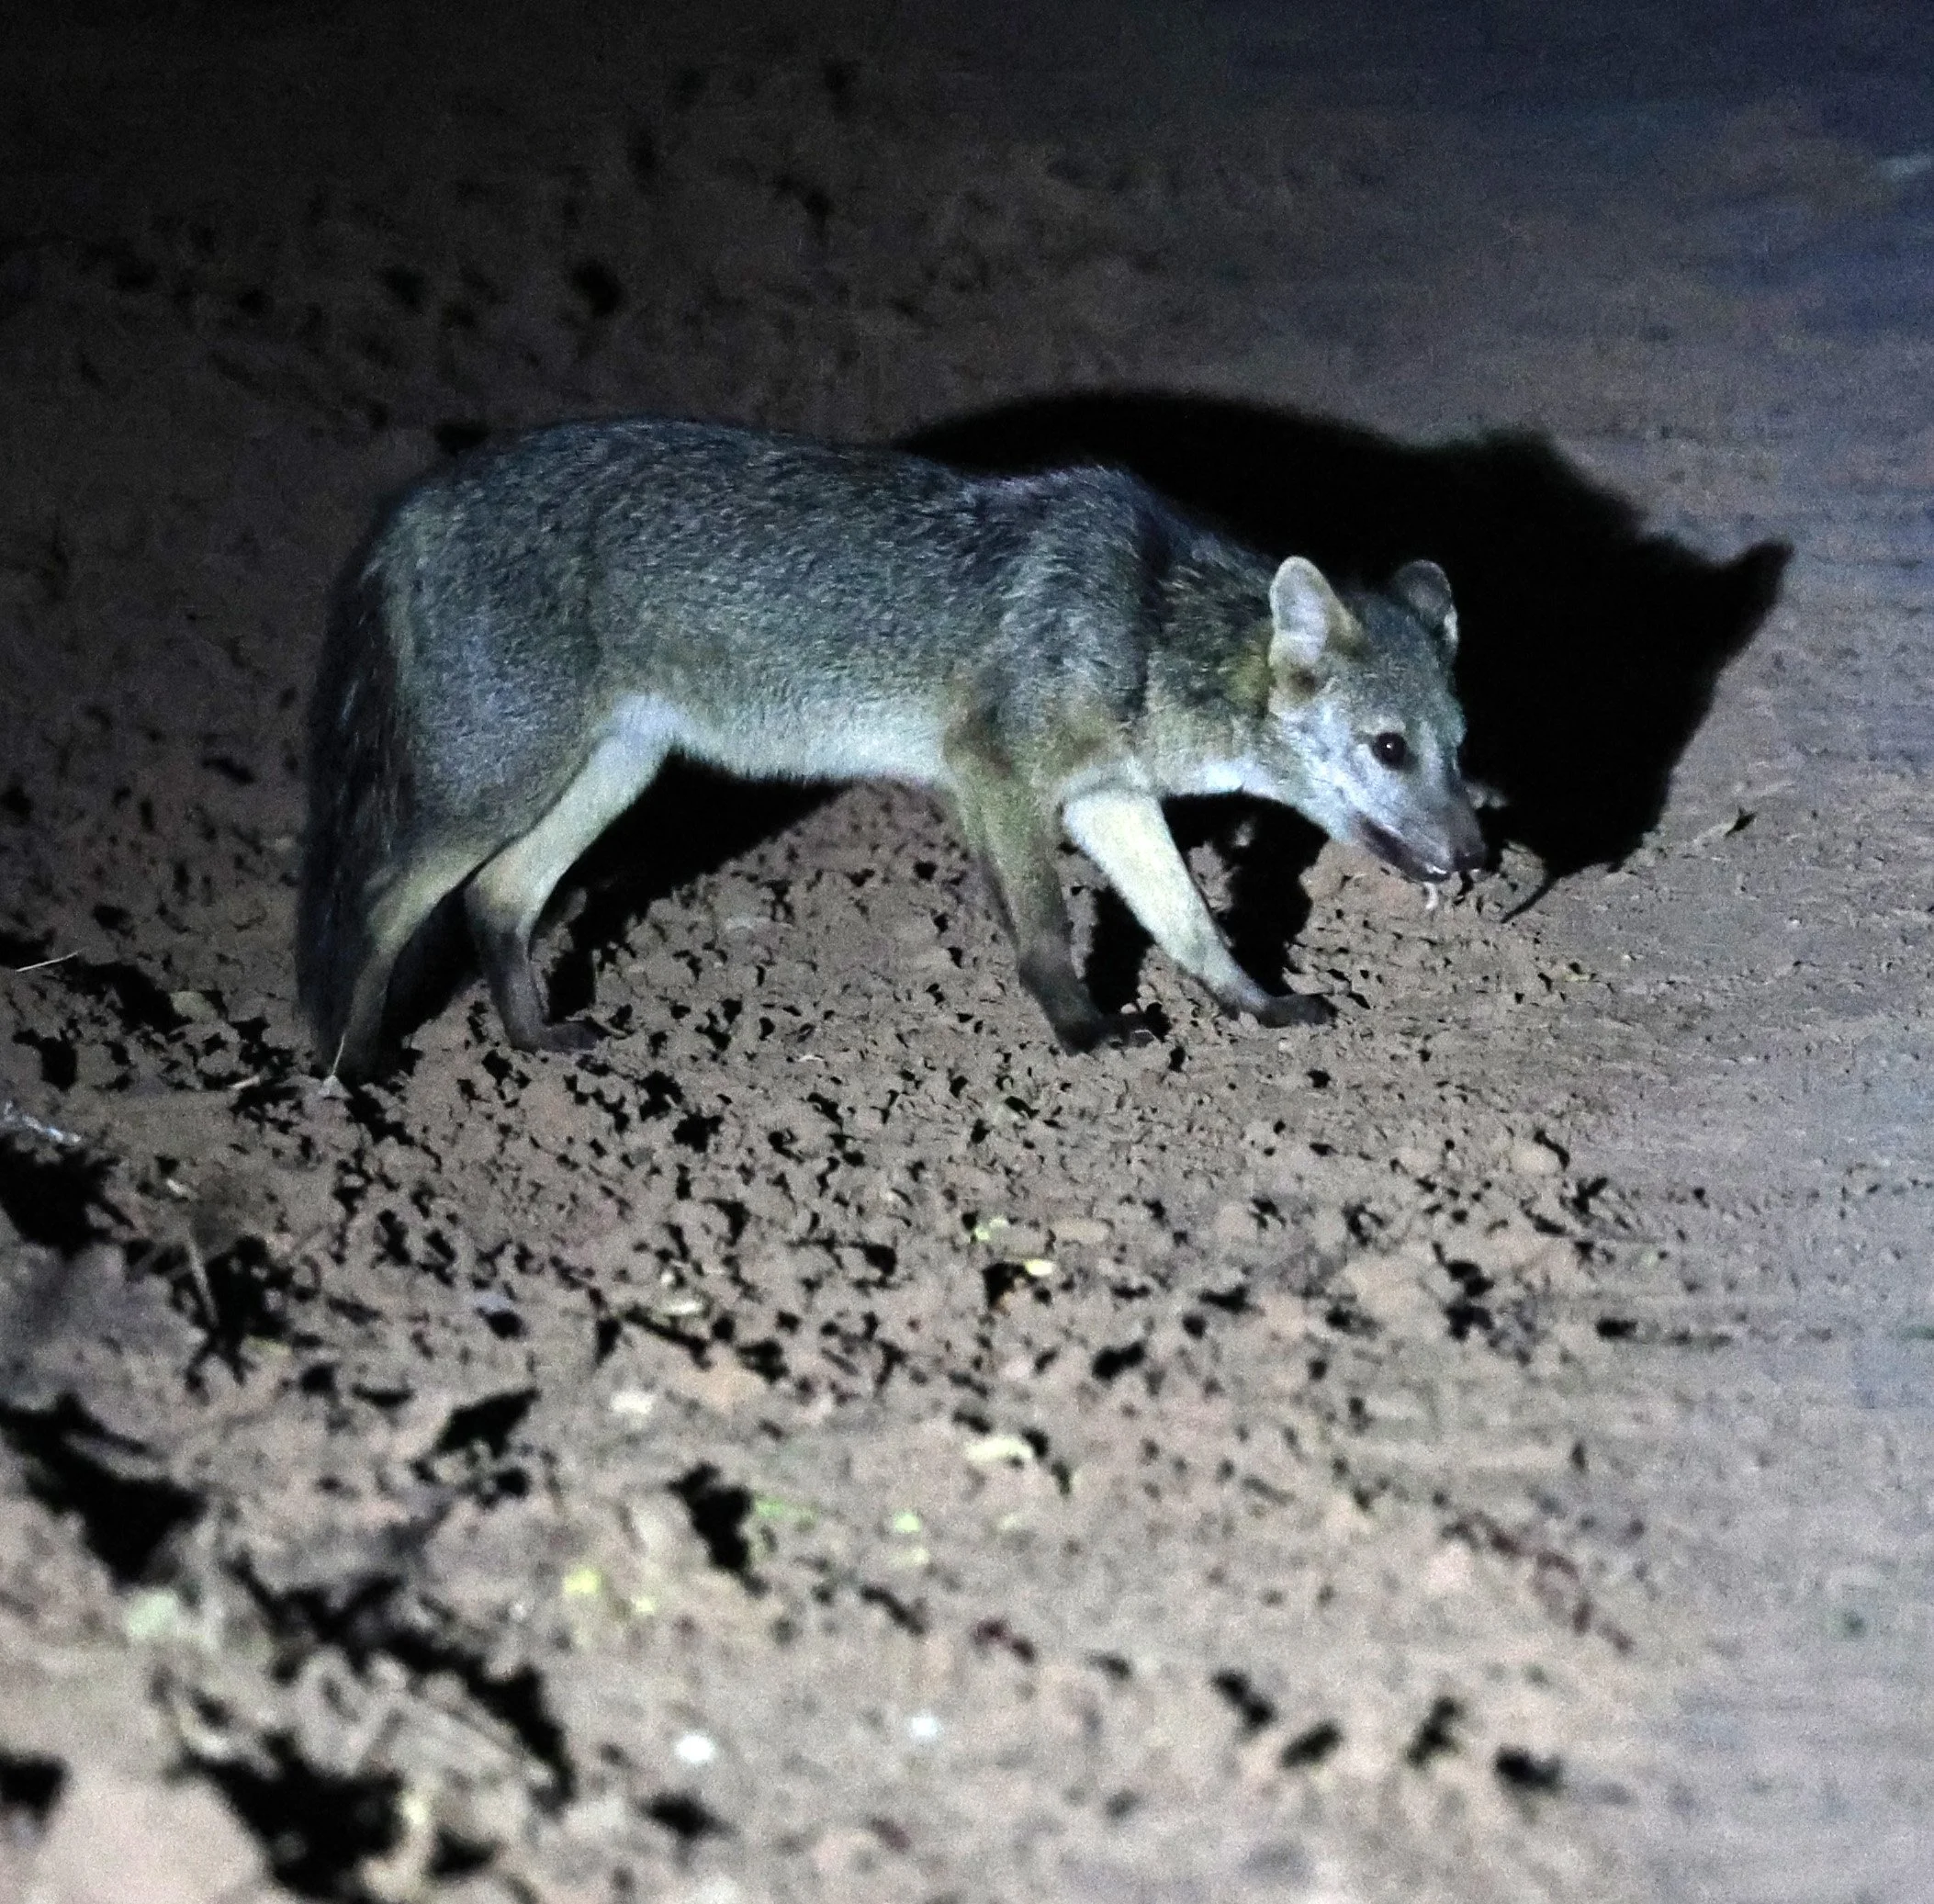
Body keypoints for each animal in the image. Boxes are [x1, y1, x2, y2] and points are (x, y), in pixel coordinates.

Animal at [297, 416, 1485, 1080]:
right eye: (1389, 748)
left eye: (1460, 749)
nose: (1478, 859)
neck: (1148, 620)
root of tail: (412, 503)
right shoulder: (1000, 781)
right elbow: (1046, 932)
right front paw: (1084, 1034)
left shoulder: (1109, 801)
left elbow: (1193, 925)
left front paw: (1262, 1007)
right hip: (494, 787)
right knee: (383, 901)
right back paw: (350, 1070)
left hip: (606, 777)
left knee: (498, 897)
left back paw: (535, 1046)